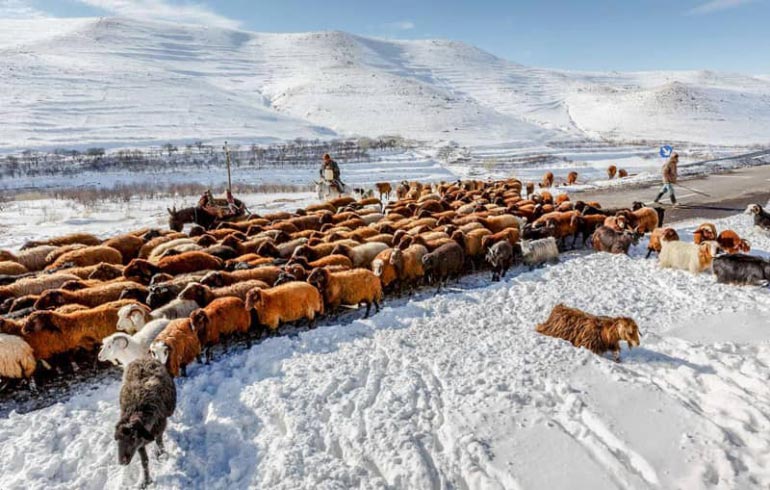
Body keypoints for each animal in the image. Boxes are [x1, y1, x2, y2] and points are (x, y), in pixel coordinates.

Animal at [115, 358, 176, 488]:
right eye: (117, 439)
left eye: (133, 437)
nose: (122, 462)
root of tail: (143, 358)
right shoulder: (140, 444)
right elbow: (145, 462)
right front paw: (146, 481)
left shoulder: (157, 431)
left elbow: (159, 442)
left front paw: (162, 454)